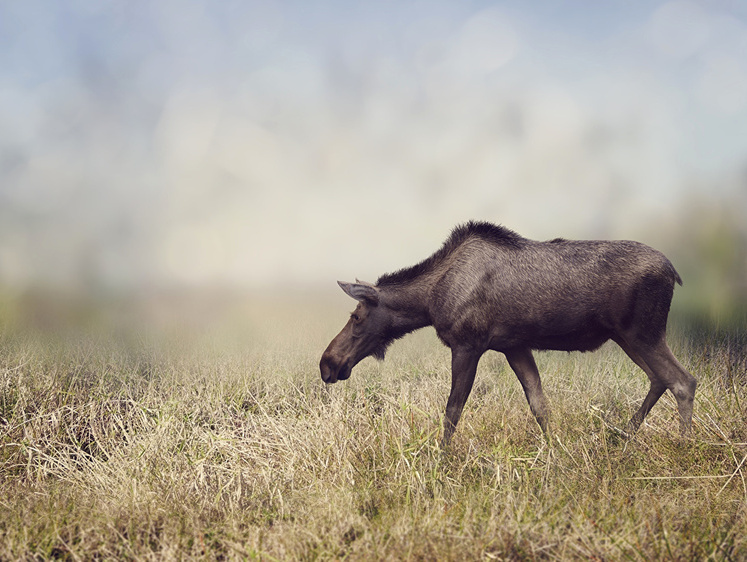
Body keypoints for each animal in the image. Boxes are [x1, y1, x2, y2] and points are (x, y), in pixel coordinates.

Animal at [318, 221, 700, 444]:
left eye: (356, 316)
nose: (327, 363)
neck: (429, 301)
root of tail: (674, 272)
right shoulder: (514, 346)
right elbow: (540, 406)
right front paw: (555, 451)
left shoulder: (467, 344)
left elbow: (452, 411)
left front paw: (440, 462)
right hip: (628, 336)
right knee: (660, 378)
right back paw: (623, 434)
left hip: (642, 333)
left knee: (683, 381)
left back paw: (681, 445)